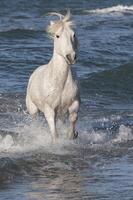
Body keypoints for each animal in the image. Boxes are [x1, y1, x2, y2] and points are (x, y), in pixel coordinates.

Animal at [26, 11, 80, 142]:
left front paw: (72, 134)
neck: (61, 83)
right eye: (57, 36)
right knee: (35, 120)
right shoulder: (49, 109)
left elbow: (73, 118)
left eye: (73, 34)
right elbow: (54, 133)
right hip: (33, 109)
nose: (71, 57)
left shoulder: (74, 103)